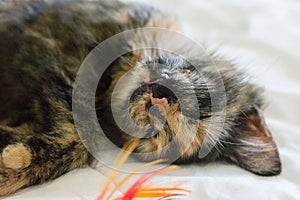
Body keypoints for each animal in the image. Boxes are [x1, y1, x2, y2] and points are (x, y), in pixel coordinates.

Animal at [0, 0, 282, 197]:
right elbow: (76, 123)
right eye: (200, 103)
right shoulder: (46, 48)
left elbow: (77, 137)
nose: (161, 98)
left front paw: (11, 164)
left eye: (163, 130)